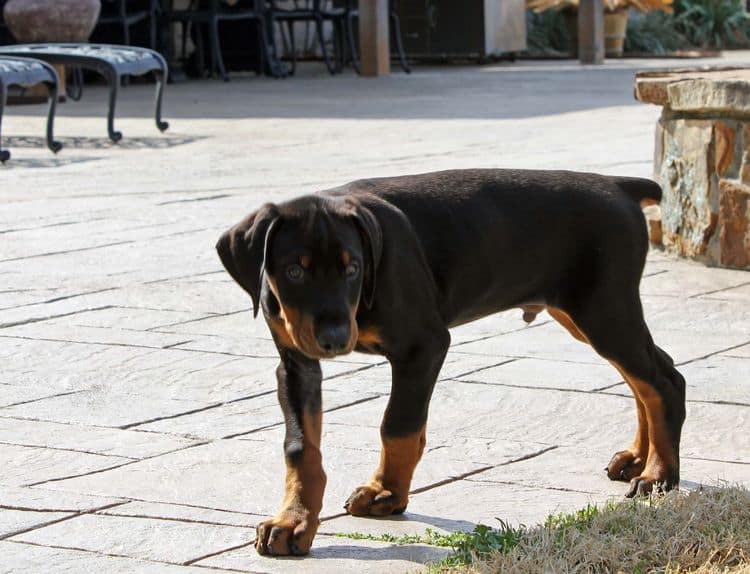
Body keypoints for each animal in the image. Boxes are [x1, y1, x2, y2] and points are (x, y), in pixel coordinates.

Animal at [216, 170, 688, 560]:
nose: (334, 339)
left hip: (603, 309)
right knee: (645, 377)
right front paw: (293, 522)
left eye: (353, 269)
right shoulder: (295, 363)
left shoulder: (423, 346)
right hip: (585, 313)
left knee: (664, 381)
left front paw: (387, 492)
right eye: (294, 271)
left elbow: (398, 426)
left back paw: (659, 475)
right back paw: (638, 457)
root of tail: (618, 185)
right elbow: (300, 447)